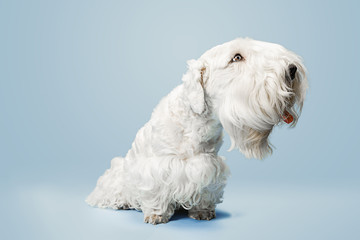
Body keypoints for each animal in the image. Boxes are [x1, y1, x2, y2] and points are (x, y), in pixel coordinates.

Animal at [86, 37, 308, 223]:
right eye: (236, 57)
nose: (292, 69)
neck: (197, 118)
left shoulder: (210, 166)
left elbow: (205, 191)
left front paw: (202, 211)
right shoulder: (159, 167)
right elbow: (156, 193)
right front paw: (156, 215)